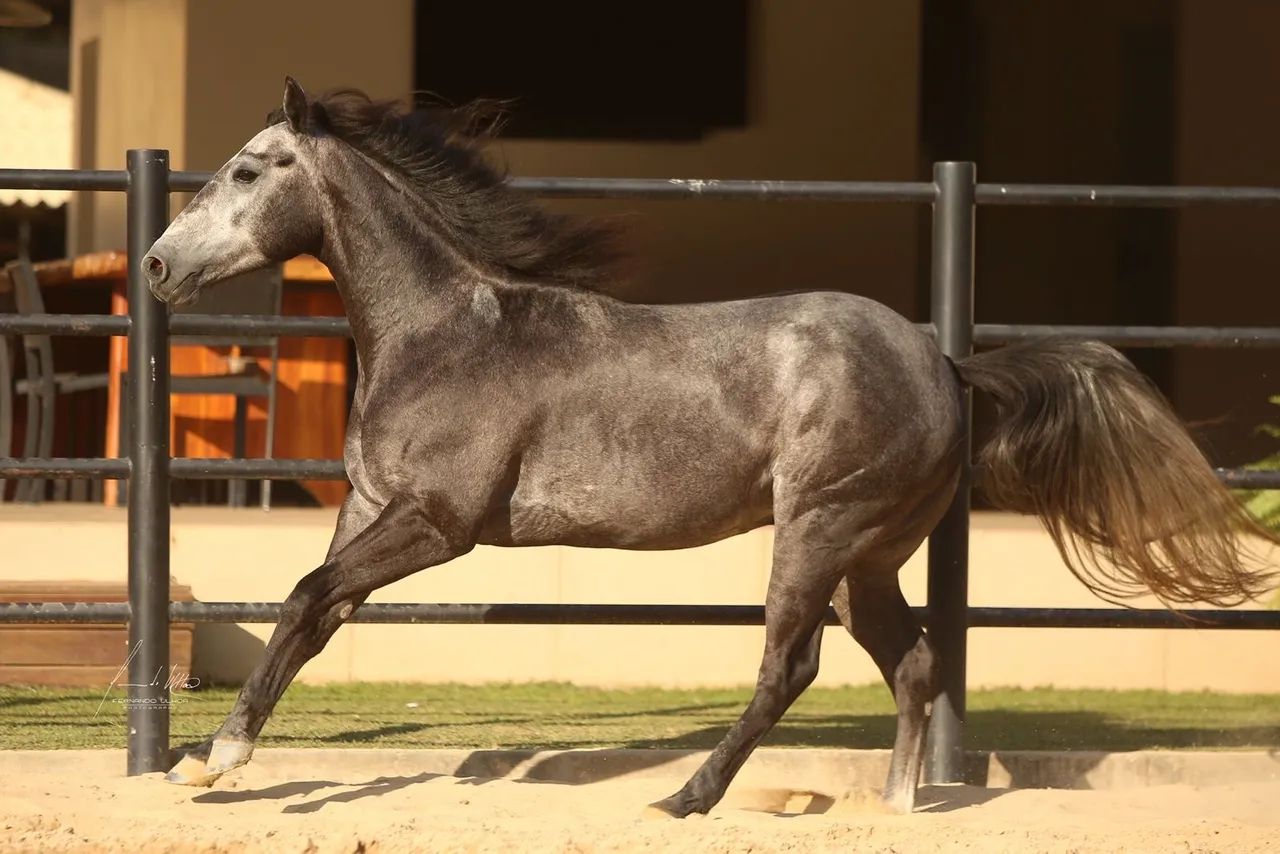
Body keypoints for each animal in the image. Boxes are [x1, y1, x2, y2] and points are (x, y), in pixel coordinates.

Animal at [141, 77, 1276, 817]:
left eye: (248, 169)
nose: (153, 265)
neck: (441, 331)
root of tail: (943, 362)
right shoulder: (371, 509)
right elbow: (311, 616)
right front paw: (212, 762)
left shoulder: (438, 524)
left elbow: (301, 597)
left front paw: (215, 758)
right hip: (869, 553)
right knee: (911, 661)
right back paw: (899, 806)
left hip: (818, 531)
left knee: (791, 663)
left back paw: (688, 796)